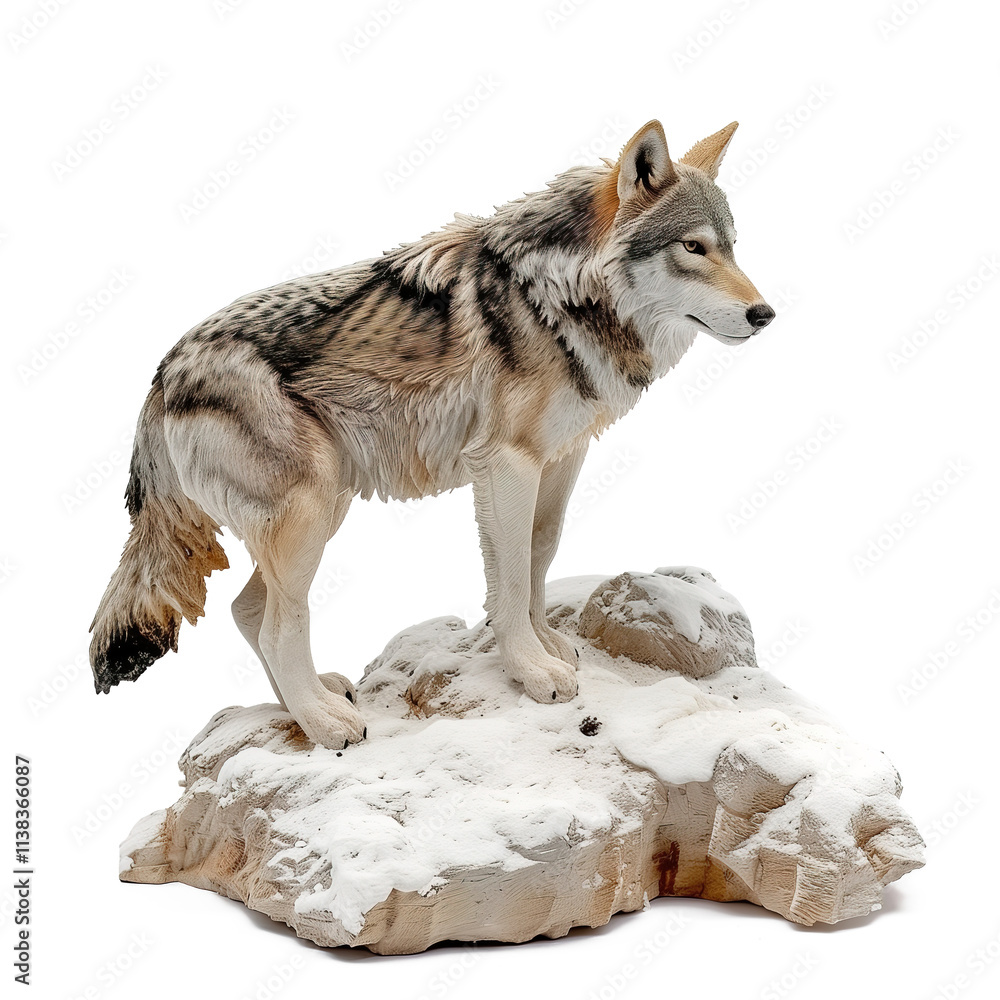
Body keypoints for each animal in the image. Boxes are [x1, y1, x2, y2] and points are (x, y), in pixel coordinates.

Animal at [89, 119, 774, 749]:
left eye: (733, 248)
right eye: (693, 247)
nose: (764, 314)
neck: (558, 297)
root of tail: (162, 376)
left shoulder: (561, 456)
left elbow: (540, 552)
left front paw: (547, 645)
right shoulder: (504, 465)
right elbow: (511, 575)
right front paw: (531, 671)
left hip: (323, 508)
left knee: (247, 610)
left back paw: (307, 704)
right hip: (311, 513)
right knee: (277, 627)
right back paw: (326, 724)